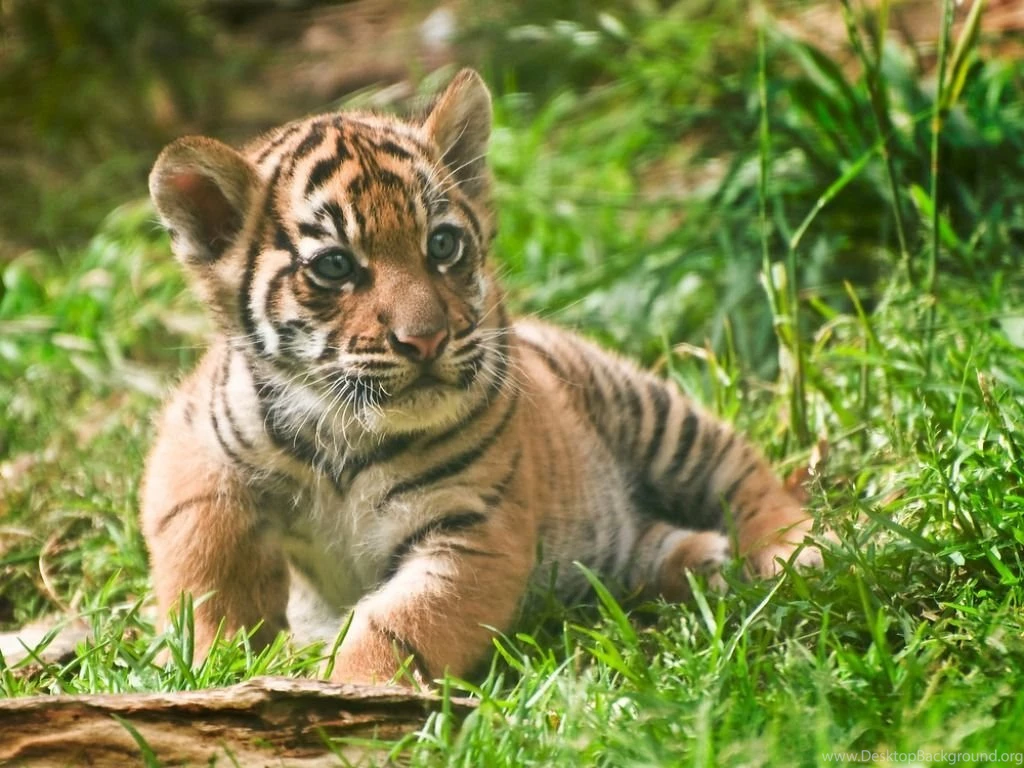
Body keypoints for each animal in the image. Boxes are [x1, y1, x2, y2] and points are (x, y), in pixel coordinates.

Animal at [141, 68, 821, 686]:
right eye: (335, 266)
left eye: (442, 246)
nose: (425, 340)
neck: (345, 430)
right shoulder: (193, 447)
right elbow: (205, 558)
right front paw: (213, 659)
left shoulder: (472, 528)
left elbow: (399, 625)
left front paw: (341, 693)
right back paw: (701, 559)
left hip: (652, 413)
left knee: (744, 473)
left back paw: (796, 552)